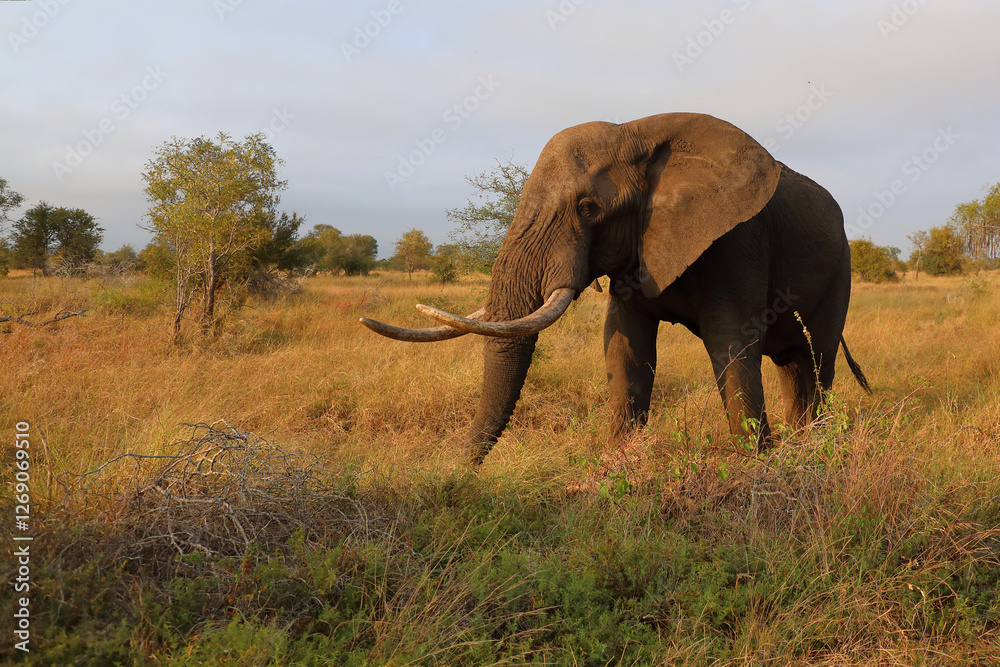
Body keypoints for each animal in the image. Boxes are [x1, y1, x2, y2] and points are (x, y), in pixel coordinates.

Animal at [362, 112, 871, 463]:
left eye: (588, 208)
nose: (456, 473)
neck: (637, 132)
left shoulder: (738, 240)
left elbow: (731, 345)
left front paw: (754, 464)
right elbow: (624, 345)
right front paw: (619, 459)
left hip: (840, 271)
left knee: (816, 362)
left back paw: (811, 445)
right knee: (794, 367)